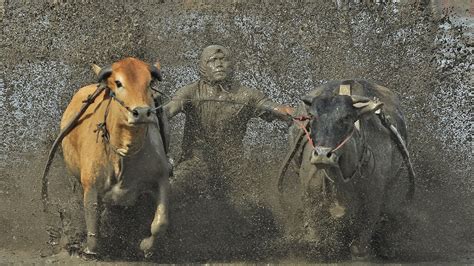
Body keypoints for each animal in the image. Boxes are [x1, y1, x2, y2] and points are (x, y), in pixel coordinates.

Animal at [59, 57, 169, 258]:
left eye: (149, 82)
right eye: (118, 83)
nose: (142, 112)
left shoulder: (162, 177)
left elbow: (160, 223)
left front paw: (145, 246)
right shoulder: (91, 187)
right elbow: (93, 227)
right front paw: (89, 249)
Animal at [278, 79, 414, 260]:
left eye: (347, 117)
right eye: (312, 116)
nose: (322, 155)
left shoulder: (373, 199)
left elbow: (360, 245)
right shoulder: (309, 194)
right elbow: (314, 236)